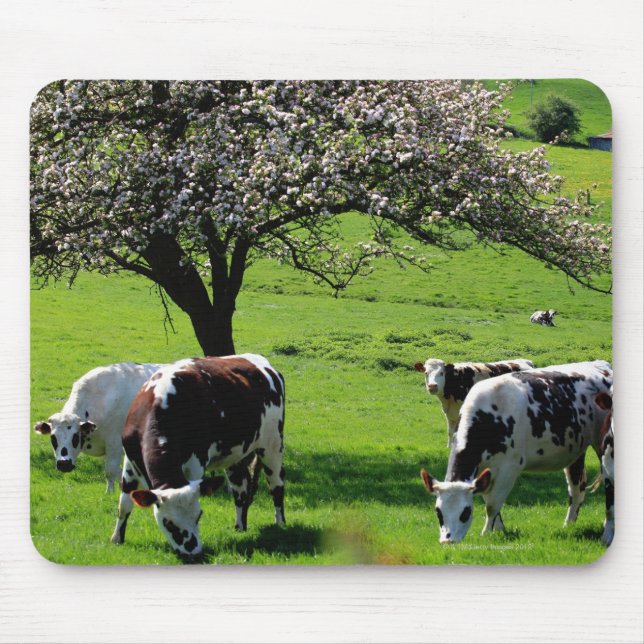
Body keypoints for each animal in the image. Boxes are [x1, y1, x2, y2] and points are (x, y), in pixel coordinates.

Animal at [34, 362, 164, 493]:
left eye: (75, 437)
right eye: (53, 438)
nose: (63, 463)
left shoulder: (115, 443)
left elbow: (111, 471)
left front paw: (109, 493)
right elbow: (118, 472)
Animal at [110, 353, 285, 558]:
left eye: (198, 515)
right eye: (168, 522)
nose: (192, 552)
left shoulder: (195, 464)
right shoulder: (130, 461)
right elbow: (124, 503)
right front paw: (117, 539)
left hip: (272, 444)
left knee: (276, 485)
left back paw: (280, 524)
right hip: (236, 454)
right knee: (240, 488)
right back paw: (240, 527)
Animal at [419, 360, 613, 544]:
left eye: (465, 512)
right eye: (438, 512)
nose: (447, 541)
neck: (490, 417)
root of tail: (601, 365)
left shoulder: (509, 467)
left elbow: (492, 504)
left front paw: (486, 534)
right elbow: (490, 501)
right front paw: (499, 530)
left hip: (601, 444)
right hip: (576, 450)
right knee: (576, 487)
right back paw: (568, 525)